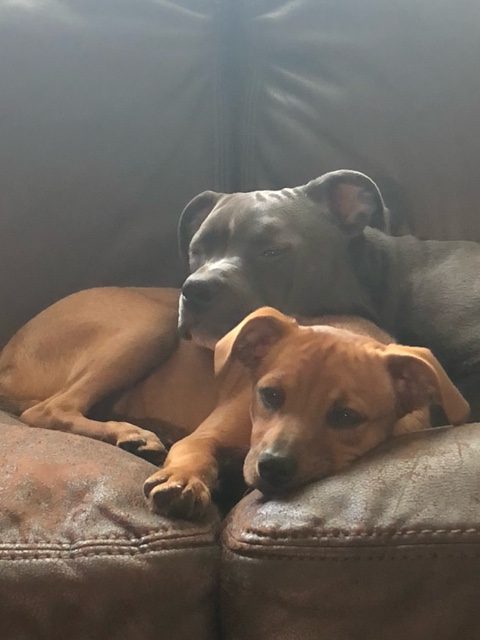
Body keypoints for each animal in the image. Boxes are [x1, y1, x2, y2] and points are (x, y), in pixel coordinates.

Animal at [0, 288, 468, 516]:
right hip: (153, 323)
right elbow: (193, 452)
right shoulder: (206, 436)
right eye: (269, 394)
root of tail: (8, 353)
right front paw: (183, 480)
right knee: (48, 409)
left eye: (346, 416)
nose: (272, 467)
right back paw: (131, 434)